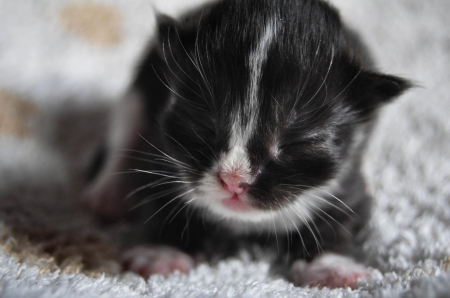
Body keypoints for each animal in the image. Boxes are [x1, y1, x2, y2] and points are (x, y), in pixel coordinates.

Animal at [83, 0, 408, 288]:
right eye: (205, 125)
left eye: (296, 142)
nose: (234, 181)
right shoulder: (160, 152)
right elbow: (160, 197)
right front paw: (161, 252)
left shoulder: (348, 179)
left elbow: (344, 216)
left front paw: (332, 266)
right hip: (137, 90)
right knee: (123, 134)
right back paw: (110, 194)